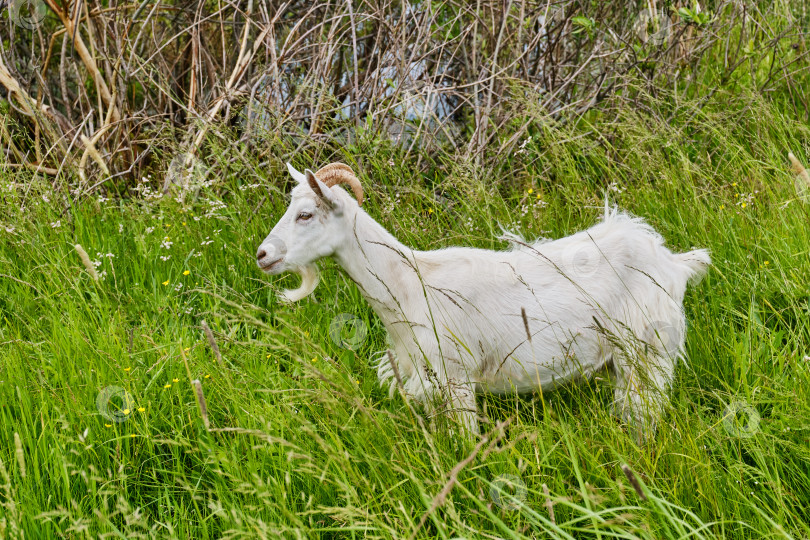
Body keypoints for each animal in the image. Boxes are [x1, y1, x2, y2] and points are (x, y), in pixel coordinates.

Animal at [258, 161, 708, 438]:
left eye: (305, 214)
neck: (408, 283)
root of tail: (673, 262)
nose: (262, 254)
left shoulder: (456, 374)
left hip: (648, 351)